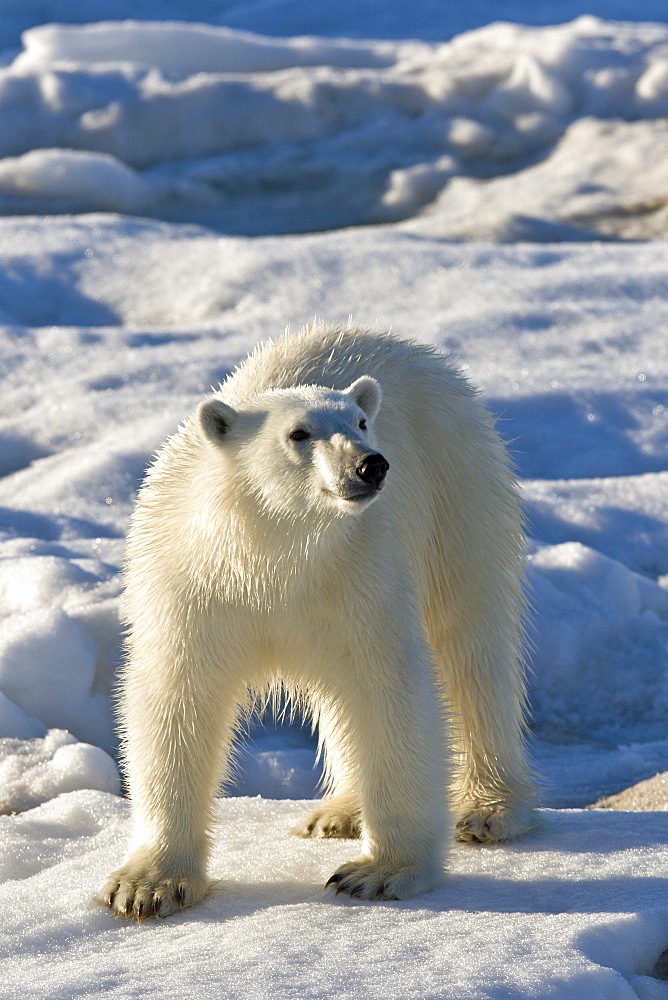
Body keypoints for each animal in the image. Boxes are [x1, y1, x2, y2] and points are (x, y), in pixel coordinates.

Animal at [102, 324, 536, 916]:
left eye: (360, 423)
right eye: (299, 433)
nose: (370, 464)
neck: (273, 553)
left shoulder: (360, 574)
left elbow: (390, 690)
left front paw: (381, 871)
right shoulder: (195, 587)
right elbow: (177, 699)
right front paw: (147, 884)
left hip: (459, 487)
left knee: (472, 647)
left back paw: (489, 809)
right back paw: (339, 812)